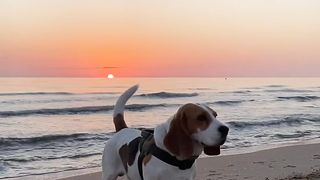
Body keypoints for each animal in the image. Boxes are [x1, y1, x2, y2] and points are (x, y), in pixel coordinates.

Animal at [101, 85, 229, 179]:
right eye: (201, 118)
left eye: (215, 115)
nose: (226, 129)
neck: (178, 161)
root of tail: (122, 129)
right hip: (109, 175)